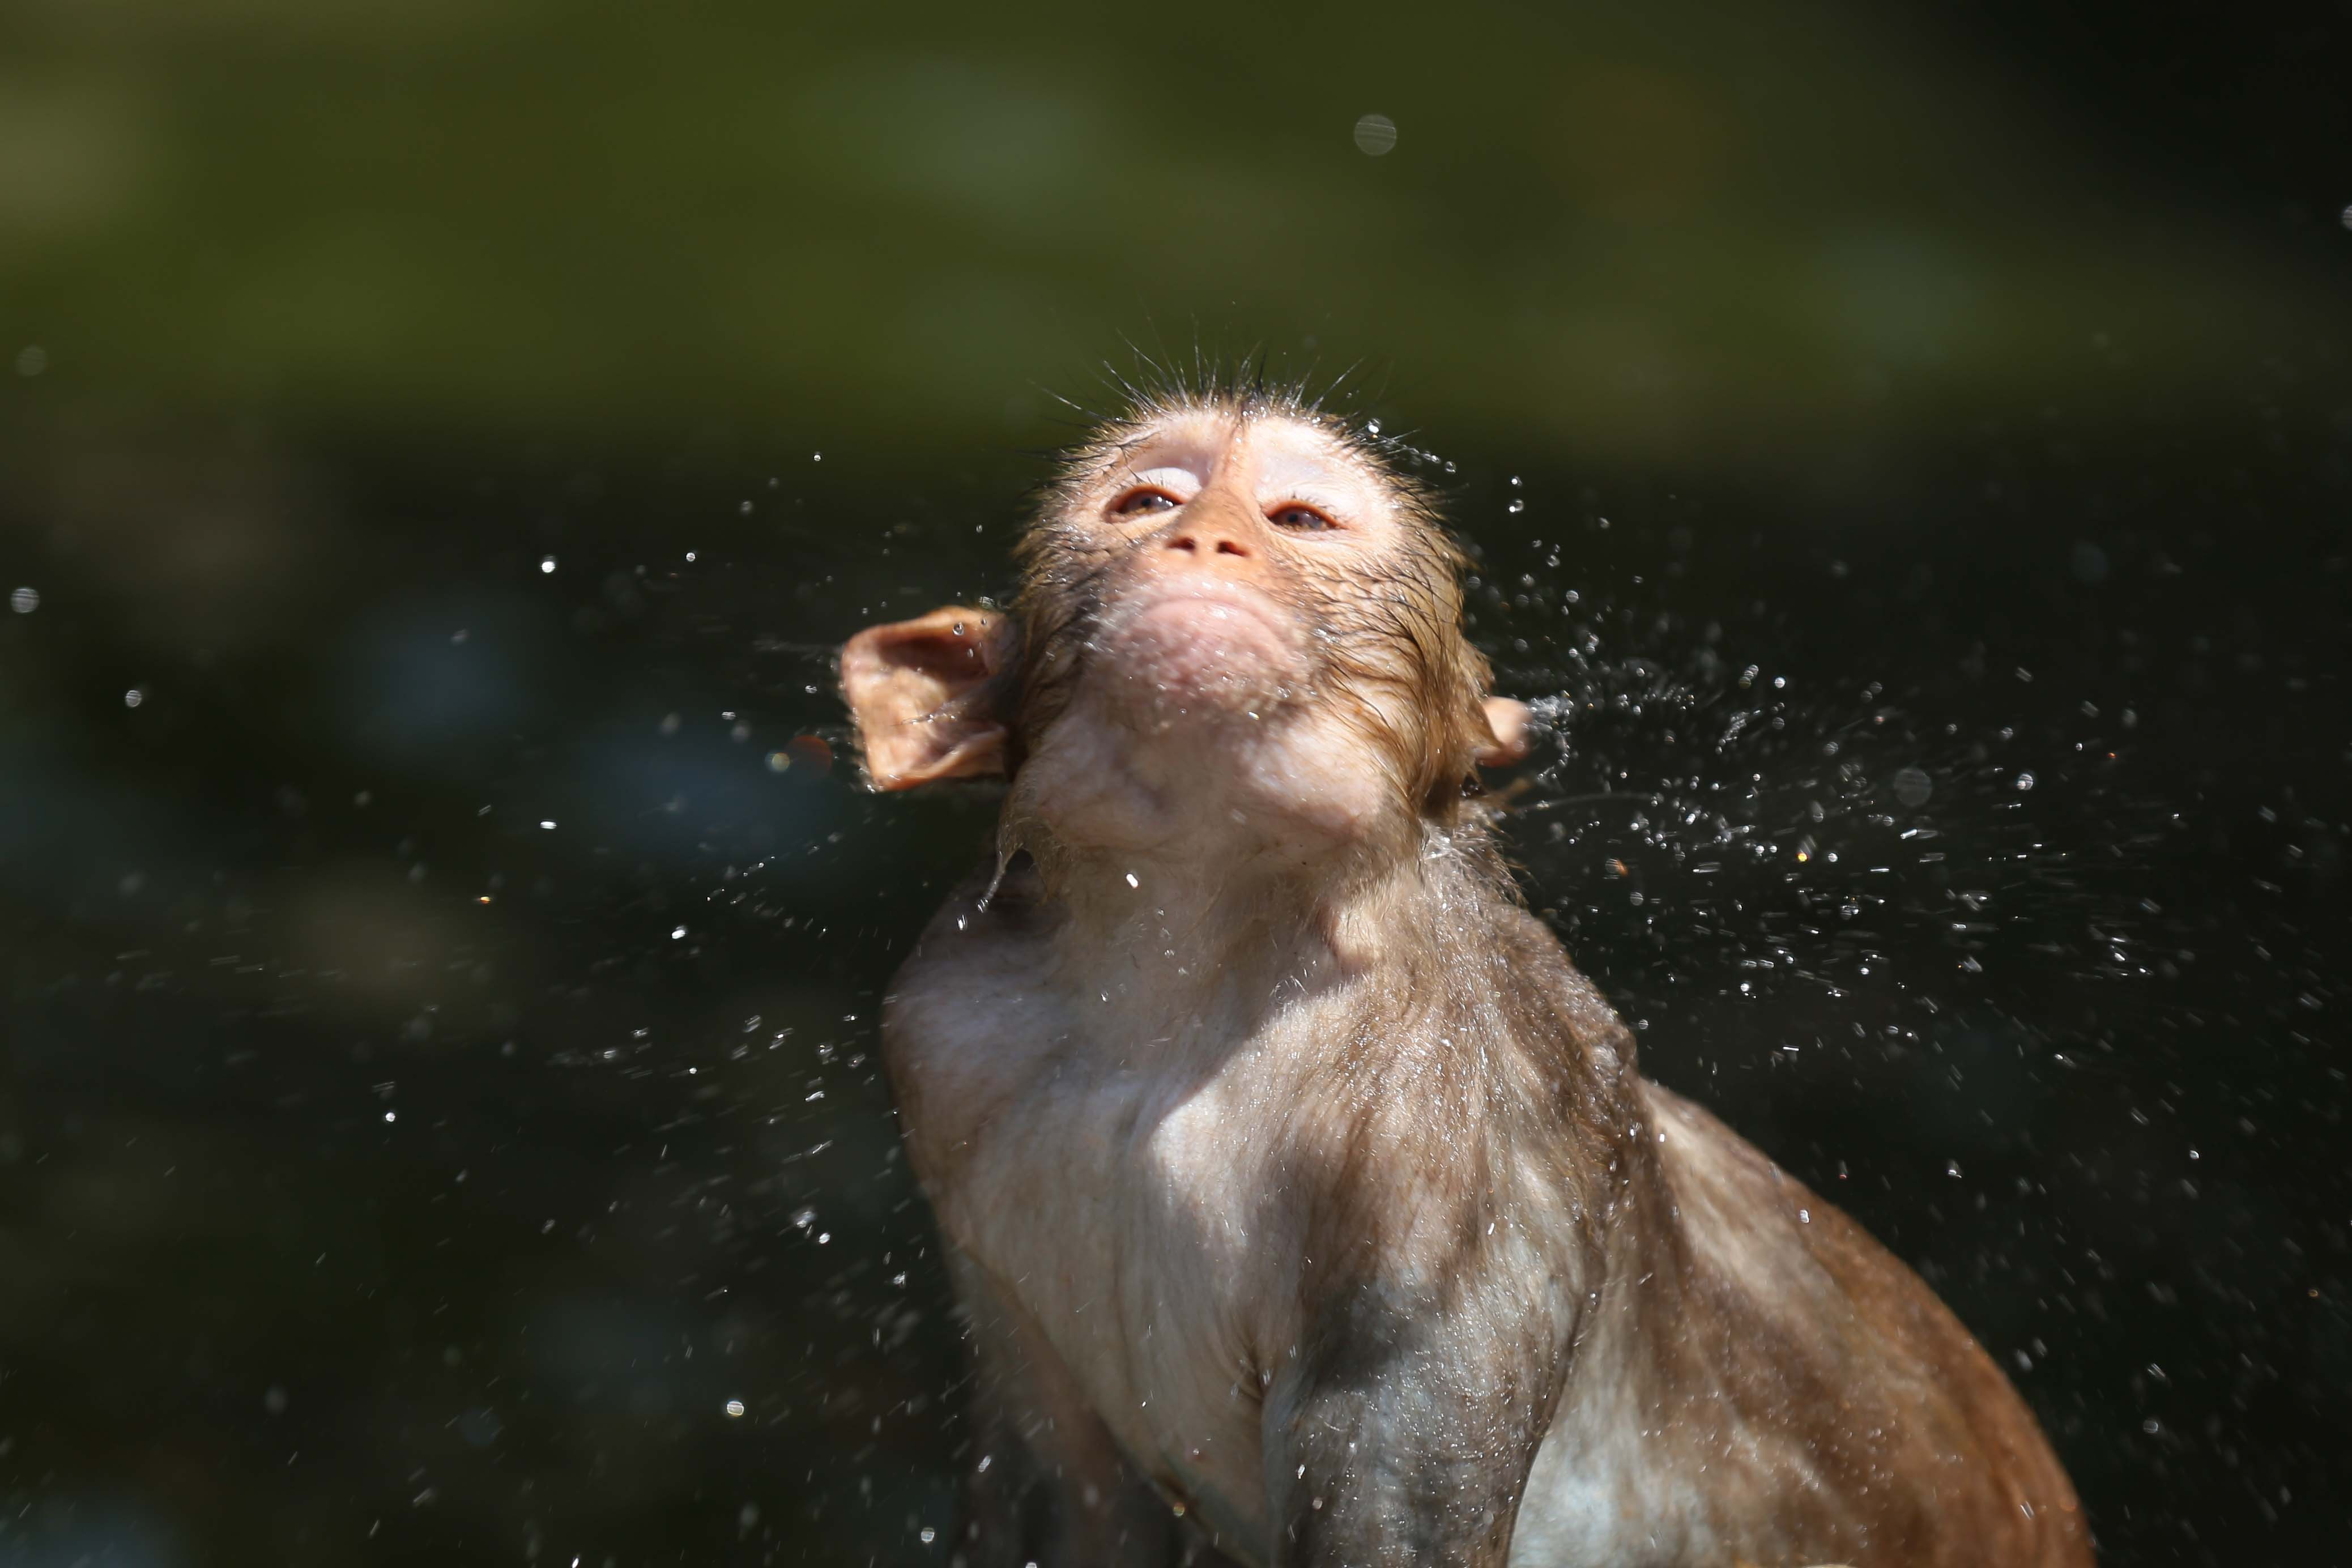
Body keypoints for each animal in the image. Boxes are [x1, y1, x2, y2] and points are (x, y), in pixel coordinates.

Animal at [837, 380, 2091, 1568]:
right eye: (1145, 502)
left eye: (1299, 519)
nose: (1205, 539)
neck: (1183, 967)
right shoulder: (950, 1037)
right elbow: (1070, 1488)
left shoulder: (1453, 1135)